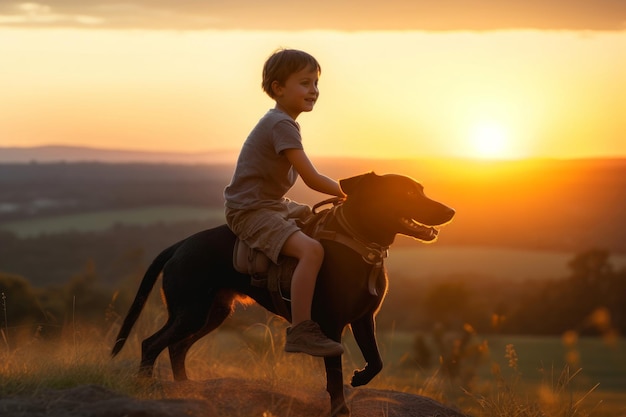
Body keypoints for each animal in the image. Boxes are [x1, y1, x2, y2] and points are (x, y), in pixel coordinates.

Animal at [111, 171, 454, 416]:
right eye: (408, 193)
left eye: (422, 190)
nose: (450, 210)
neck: (358, 241)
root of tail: (179, 245)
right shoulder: (331, 326)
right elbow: (334, 376)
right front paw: (340, 409)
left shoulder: (364, 319)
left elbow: (377, 360)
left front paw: (360, 378)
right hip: (191, 312)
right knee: (151, 343)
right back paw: (146, 386)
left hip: (211, 313)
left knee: (176, 347)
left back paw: (186, 389)